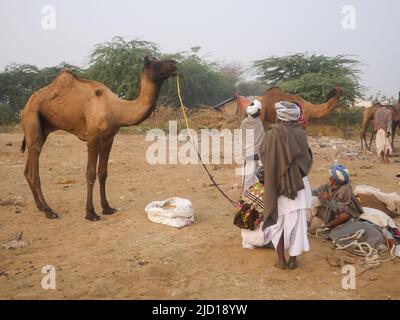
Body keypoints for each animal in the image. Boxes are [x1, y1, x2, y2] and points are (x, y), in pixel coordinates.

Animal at [20, 57, 177, 221]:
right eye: (157, 64)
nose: (174, 64)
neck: (116, 110)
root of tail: (26, 106)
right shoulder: (93, 138)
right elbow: (90, 174)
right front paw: (91, 213)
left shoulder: (108, 139)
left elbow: (103, 173)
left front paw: (107, 208)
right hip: (31, 119)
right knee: (34, 172)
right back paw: (49, 211)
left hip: (40, 131)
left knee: (27, 170)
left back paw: (39, 206)